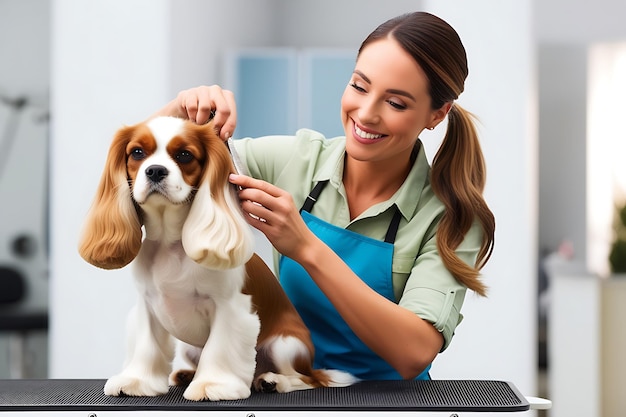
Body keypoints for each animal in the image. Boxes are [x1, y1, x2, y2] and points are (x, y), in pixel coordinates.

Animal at [77, 116, 356, 400]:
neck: (170, 242)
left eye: (184, 155)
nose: (155, 170)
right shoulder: (147, 306)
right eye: (137, 153)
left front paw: (213, 385)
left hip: (286, 345)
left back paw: (273, 380)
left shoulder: (230, 309)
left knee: (307, 378)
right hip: (189, 348)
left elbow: (219, 348)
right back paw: (186, 374)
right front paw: (136, 381)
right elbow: (147, 345)